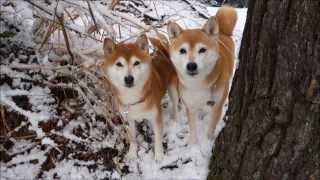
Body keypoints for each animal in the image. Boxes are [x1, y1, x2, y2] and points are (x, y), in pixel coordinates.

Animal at [166, 6, 236, 143]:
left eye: (202, 50)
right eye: (182, 50)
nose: (191, 65)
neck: (198, 84)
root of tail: (222, 32)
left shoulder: (217, 104)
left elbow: (211, 127)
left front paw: (208, 141)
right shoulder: (190, 105)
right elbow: (192, 129)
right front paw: (193, 144)